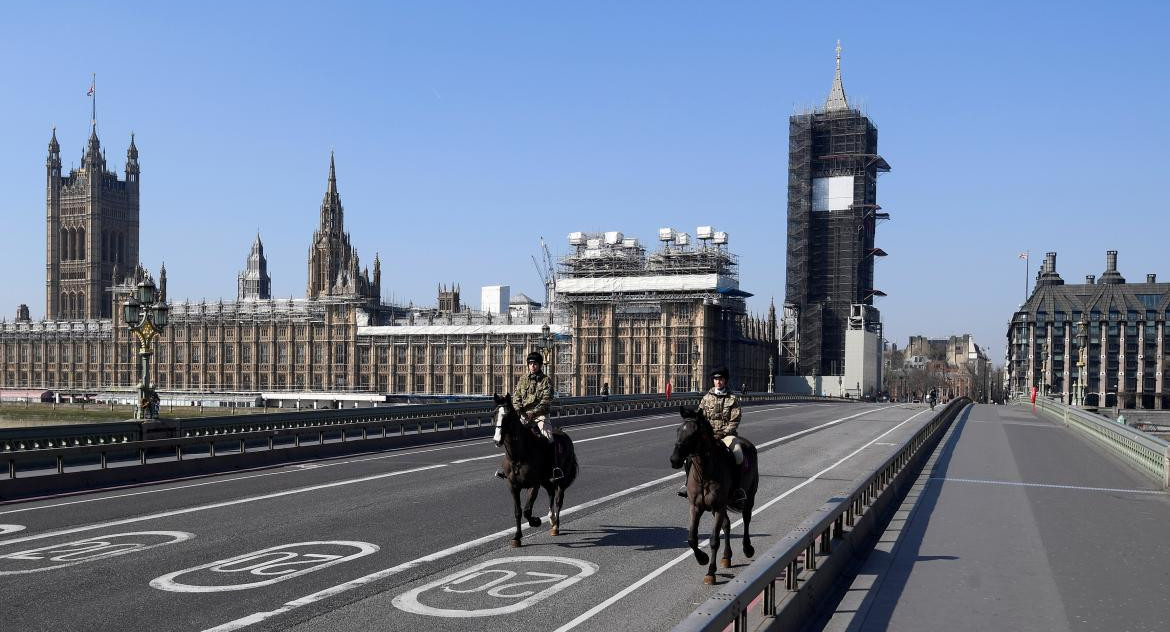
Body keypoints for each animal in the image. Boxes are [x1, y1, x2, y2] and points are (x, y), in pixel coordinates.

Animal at [491, 395, 577, 547]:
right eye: (494, 414)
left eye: (507, 415)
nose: (497, 440)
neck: (518, 456)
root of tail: (564, 434)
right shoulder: (513, 486)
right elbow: (518, 511)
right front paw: (517, 537)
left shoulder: (534, 485)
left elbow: (527, 511)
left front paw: (536, 521)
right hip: (547, 481)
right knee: (551, 494)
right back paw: (551, 519)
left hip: (561, 480)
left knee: (558, 500)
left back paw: (556, 526)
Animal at [669, 404, 758, 582]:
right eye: (678, 430)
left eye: (693, 433)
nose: (674, 460)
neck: (705, 473)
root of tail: (748, 444)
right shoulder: (696, 507)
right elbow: (692, 538)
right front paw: (702, 558)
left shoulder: (718, 507)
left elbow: (714, 540)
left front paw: (710, 572)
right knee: (727, 525)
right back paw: (726, 557)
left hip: (749, 496)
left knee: (746, 519)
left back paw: (747, 548)